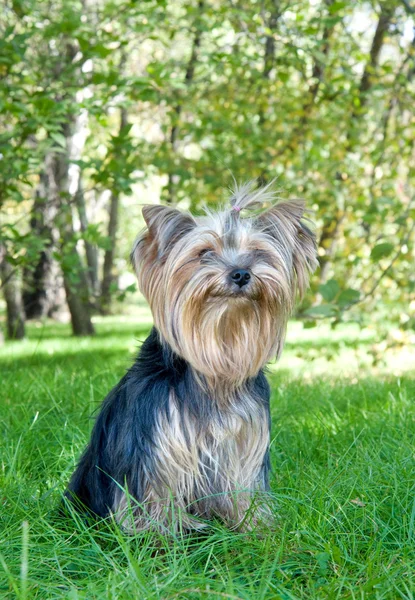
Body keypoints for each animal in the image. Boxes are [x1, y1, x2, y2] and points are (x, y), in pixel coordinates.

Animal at [65, 182, 318, 528]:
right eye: (204, 253)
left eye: (258, 253)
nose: (241, 273)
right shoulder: (159, 438)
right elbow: (155, 496)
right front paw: (160, 537)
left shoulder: (243, 439)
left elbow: (241, 488)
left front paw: (252, 528)